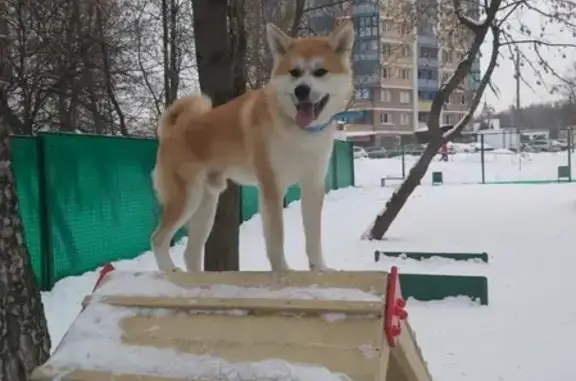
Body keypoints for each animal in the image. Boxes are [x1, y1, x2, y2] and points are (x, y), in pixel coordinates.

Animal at [151, 20, 354, 272]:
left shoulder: (313, 184)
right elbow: (276, 237)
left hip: (206, 204)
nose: (301, 90)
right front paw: (282, 271)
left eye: (320, 72)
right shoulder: (272, 186)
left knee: (190, 253)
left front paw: (320, 268)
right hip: (186, 198)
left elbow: (313, 235)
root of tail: (172, 130)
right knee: (158, 238)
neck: (298, 133)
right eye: (294, 72)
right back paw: (169, 269)